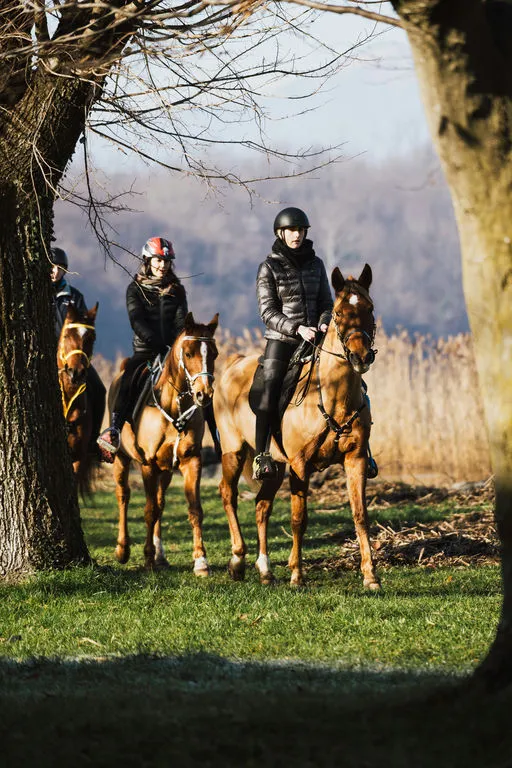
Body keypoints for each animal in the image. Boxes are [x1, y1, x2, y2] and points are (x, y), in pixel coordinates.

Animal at [109, 312, 219, 573]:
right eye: (188, 353)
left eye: (215, 353)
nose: (204, 394)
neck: (173, 406)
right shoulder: (148, 464)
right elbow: (149, 511)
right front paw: (147, 557)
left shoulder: (191, 461)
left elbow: (194, 510)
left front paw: (200, 560)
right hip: (122, 459)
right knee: (123, 496)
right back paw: (123, 549)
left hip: (166, 469)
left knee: (160, 501)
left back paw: (160, 554)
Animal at [214, 264, 380, 589]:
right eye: (338, 313)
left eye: (369, 308)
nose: (360, 357)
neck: (332, 396)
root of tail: (232, 364)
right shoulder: (300, 465)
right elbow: (299, 518)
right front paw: (296, 575)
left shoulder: (355, 459)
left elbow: (360, 515)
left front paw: (370, 576)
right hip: (233, 452)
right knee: (228, 494)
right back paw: (237, 560)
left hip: (275, 466)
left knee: (262, 507)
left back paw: (265, 570)